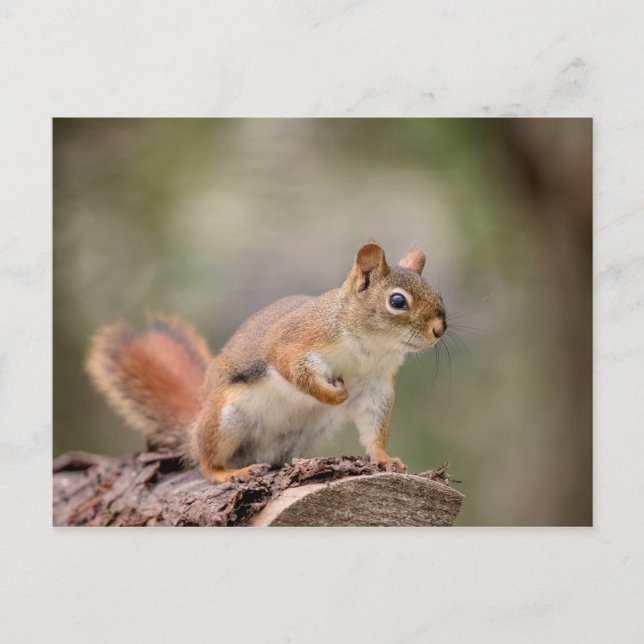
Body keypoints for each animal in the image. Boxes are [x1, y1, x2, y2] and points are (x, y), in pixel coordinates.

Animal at [86, 242, 447, 483]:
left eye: (438, 294)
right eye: (397, 301)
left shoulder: (375, 385)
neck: (370, 347)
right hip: (224, 418)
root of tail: (194, 425)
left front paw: (385, 459)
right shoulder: (295, 340)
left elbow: (373, 425)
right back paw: (228, 473)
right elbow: (293, 370)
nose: (439, 329)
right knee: (205, 462)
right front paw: (332, 395)